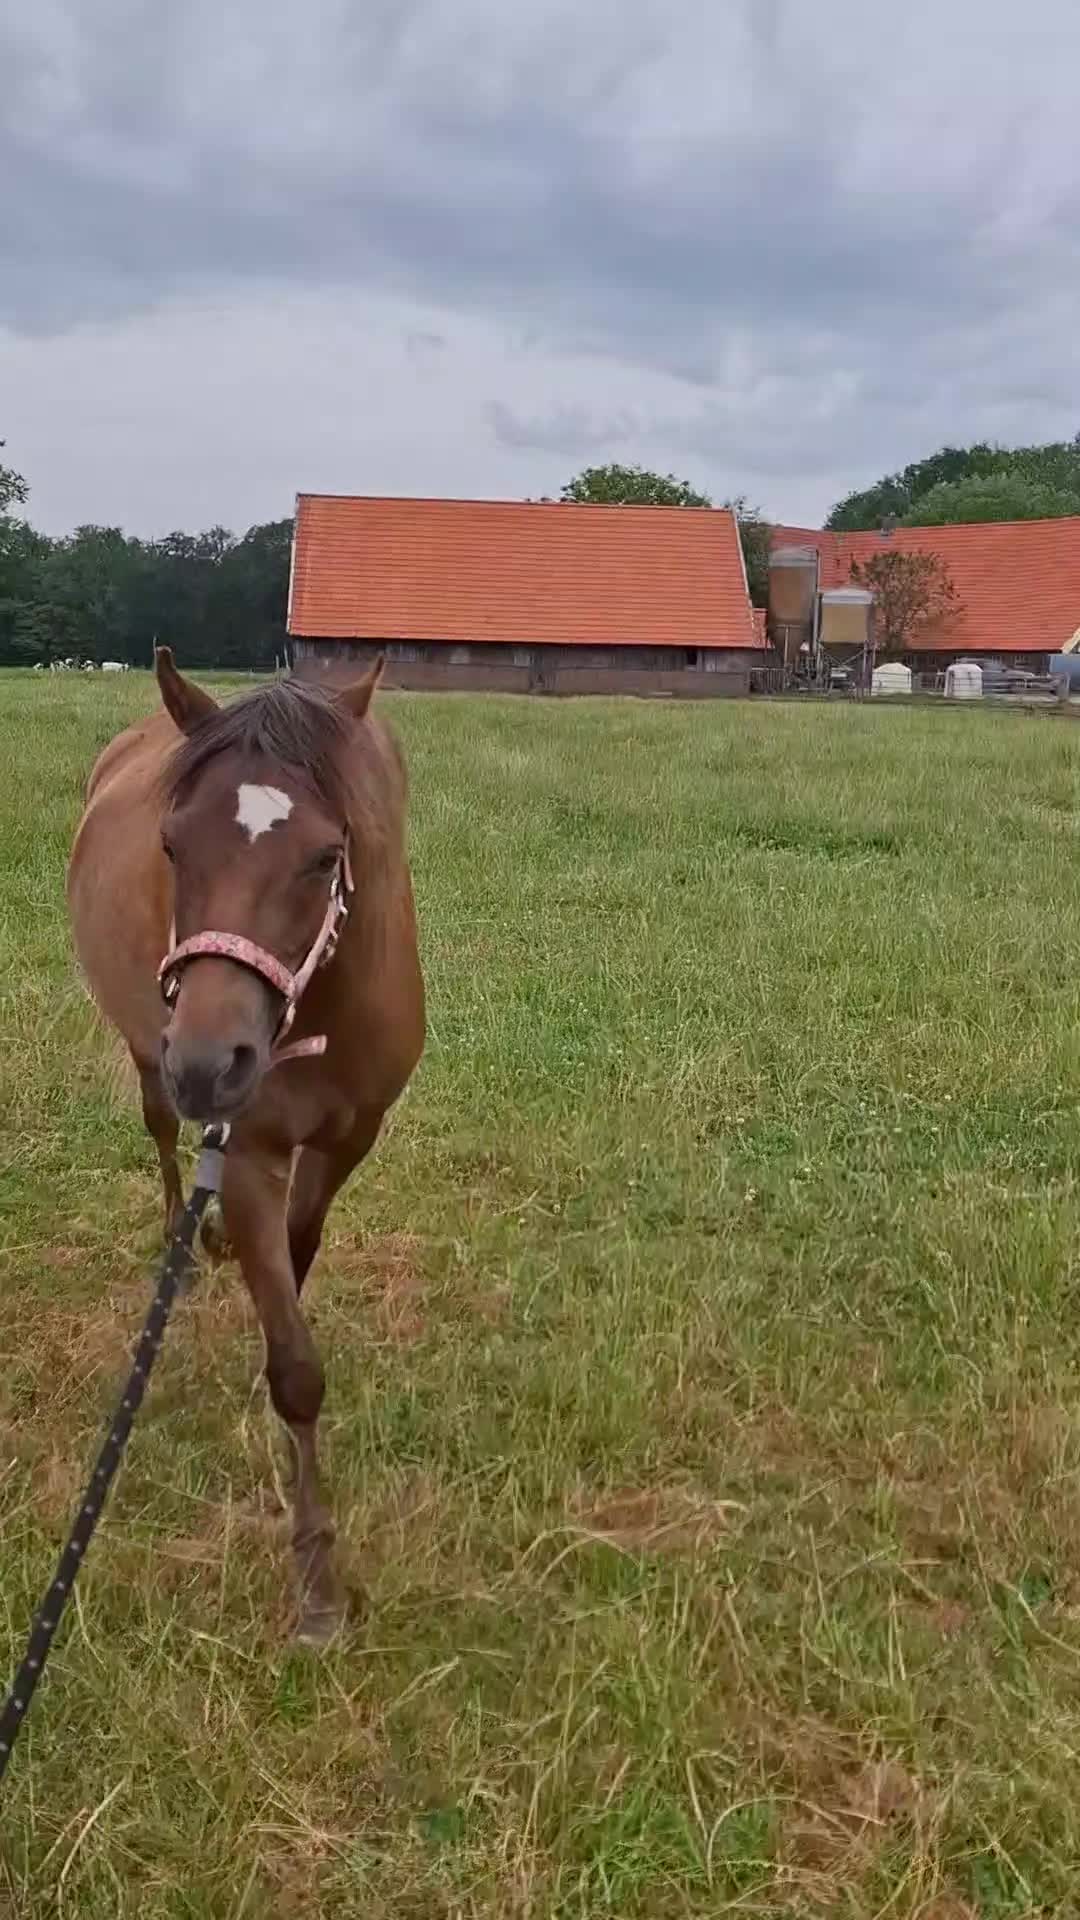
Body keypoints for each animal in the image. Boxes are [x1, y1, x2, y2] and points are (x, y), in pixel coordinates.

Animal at [67, 649, 425, 1641]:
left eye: (327, 856)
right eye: (172, 846)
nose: (209, 1062)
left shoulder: (349, 1140)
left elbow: (295, 1262)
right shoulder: (253, 1147)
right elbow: (297, 1369)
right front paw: (317, 1582)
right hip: (146, 1054)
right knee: (160, 1133)